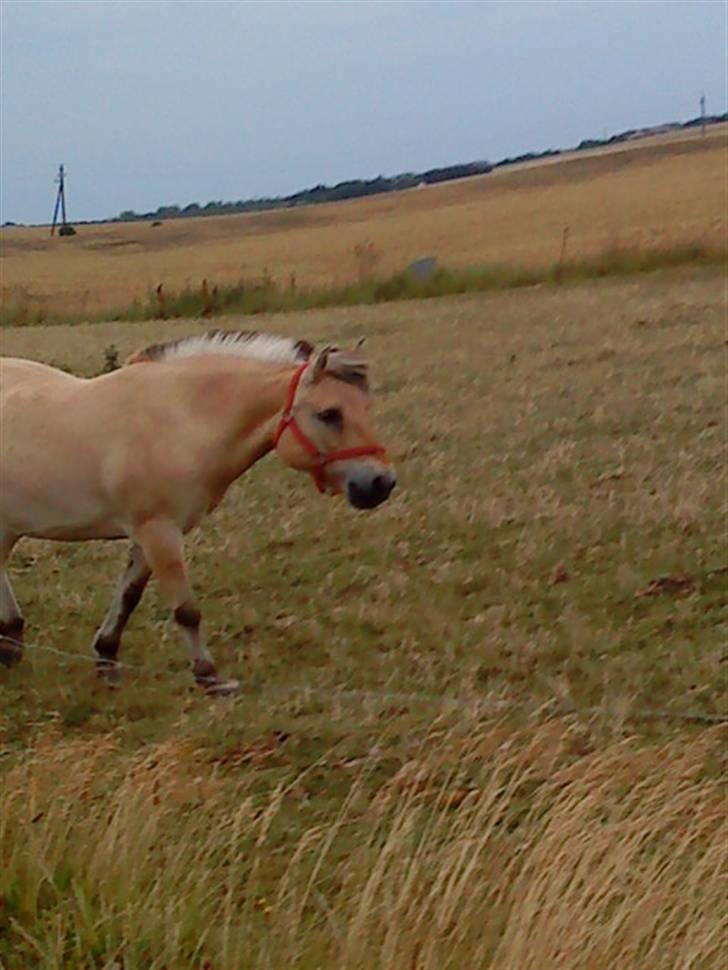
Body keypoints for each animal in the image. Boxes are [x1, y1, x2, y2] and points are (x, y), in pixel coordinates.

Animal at [0, 328, 396, 692]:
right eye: (330, 414)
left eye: (366, 408)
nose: (380, 483)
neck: (180, 419)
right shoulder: (159, 532)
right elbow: (186, 610)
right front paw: (210, 677)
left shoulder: (148, 536)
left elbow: (128, 598)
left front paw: (107, 658)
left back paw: (11, 641)